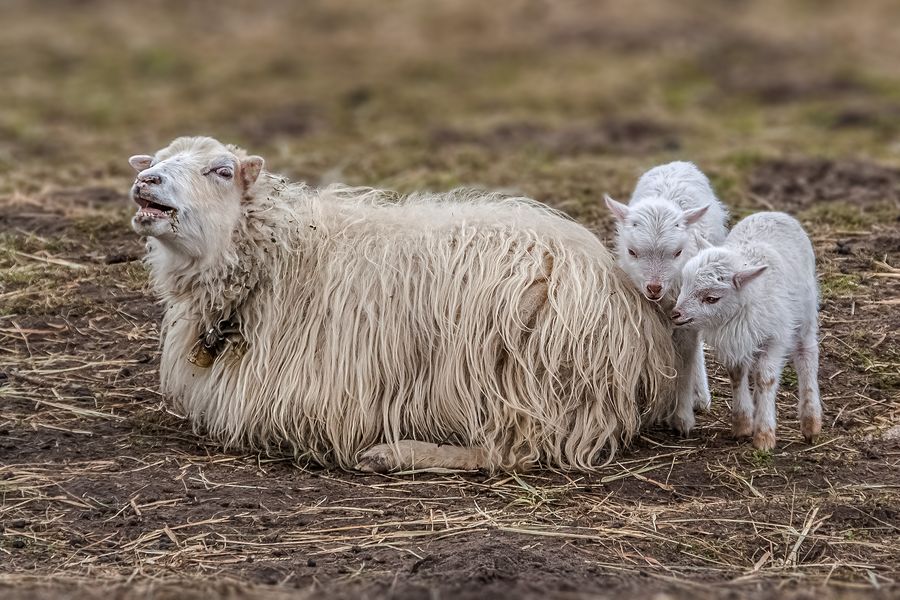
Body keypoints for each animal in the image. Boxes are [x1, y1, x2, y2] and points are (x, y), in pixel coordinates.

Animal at [600, 162, 728, 436]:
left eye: (678, 252)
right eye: (632, 251)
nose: (654, 287)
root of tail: (676, 164)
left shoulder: (686, 311)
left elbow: (686, 358)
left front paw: (682, 419)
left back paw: (700, 396)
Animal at [668, 211, 824, 450]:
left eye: (711, 298)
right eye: (684, 283)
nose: (676, 314)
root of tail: (774, 213)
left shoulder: (776, 337)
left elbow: (765, 379)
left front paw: (764, 435)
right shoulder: (735, 340)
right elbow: (736, 374)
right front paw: (742, 423)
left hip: (805, 313)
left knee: (807, 355)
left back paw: (811, 421)